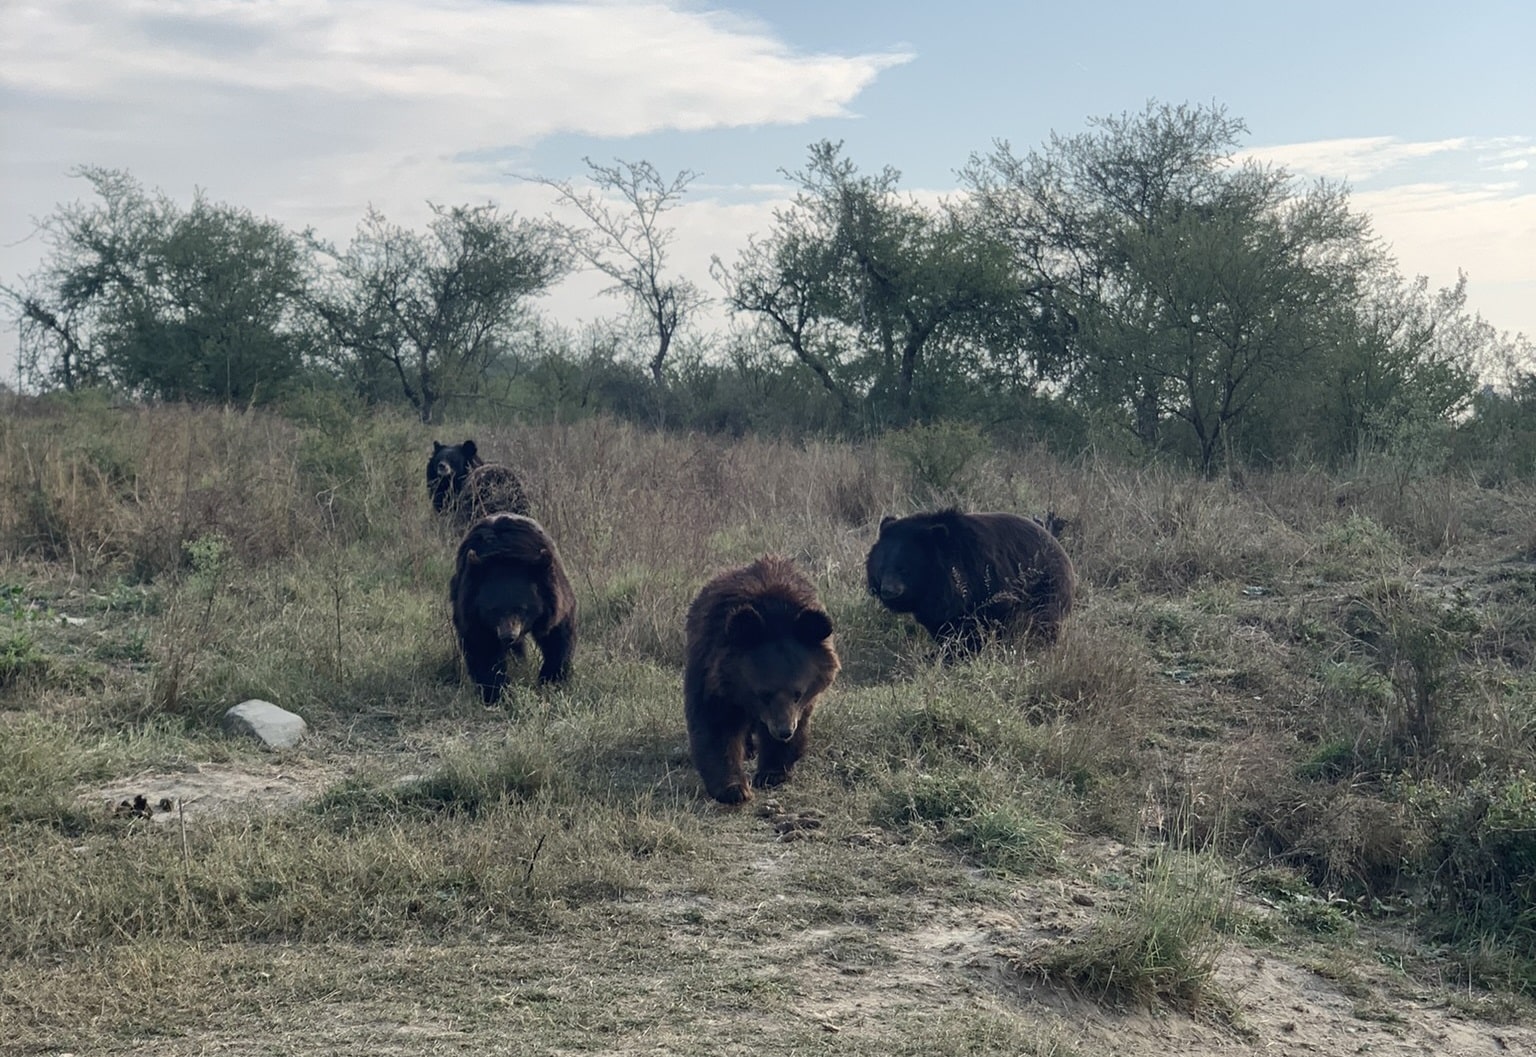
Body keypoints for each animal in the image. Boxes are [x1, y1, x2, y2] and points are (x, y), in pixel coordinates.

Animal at [454, 513, 580, 700]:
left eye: (522, 608)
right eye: (492, 610)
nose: (508, 636)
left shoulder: (553, 598)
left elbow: (558, 636)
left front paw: (550, 681)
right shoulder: (470, 610)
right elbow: (482, 648)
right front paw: (495, 692)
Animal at [688, 556, 847, 805]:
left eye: (798, 693)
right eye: (763, 694)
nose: (784, 731)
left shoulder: (805, 701)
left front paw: (771, 773)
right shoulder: (711, 676)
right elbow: (715, 726)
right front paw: (734, 789)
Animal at [866, 510, 1081, 651]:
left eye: (904, 569)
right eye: (882, 567)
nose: (888, 591)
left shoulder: (983, 580)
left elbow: (980, 623)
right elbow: (943, 624)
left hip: (1046, 587)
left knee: (1042, 620)